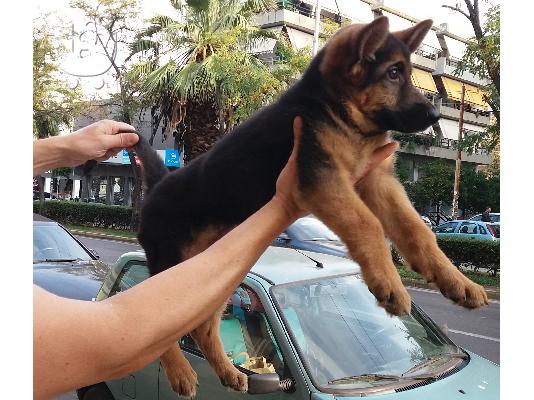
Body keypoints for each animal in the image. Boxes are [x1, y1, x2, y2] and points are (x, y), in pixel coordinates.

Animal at [132, 17, 488, 396]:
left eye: (407, 73)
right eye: (393, 73)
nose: (435, 114)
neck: (335, 110)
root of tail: (158, 185)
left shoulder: (377, 179)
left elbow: (417, 229)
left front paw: (457, 281)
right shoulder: (322, 178)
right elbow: (369, 224)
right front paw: (388, 281)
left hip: (214, 277)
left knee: (203, 327)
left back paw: (228, 371)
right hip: (172, 267)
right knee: (158, 326)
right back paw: (179, 372)